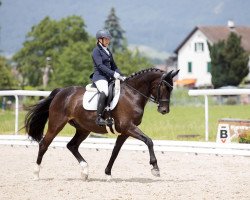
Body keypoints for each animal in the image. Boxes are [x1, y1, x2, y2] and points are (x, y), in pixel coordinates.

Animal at [24, 67, 179, 180]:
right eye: (164, 87)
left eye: (171, 88)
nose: (164, 110)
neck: (132, 94)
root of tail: (61, 91)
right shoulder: (129, 127)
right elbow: (149, 141)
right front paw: (155, 168)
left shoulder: (124, 131)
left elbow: (115, 151)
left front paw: (108, 173)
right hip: (56, 124)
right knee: (44, 144)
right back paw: (36, 174)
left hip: (83, 129)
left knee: (72, 146)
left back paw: (85, 172)